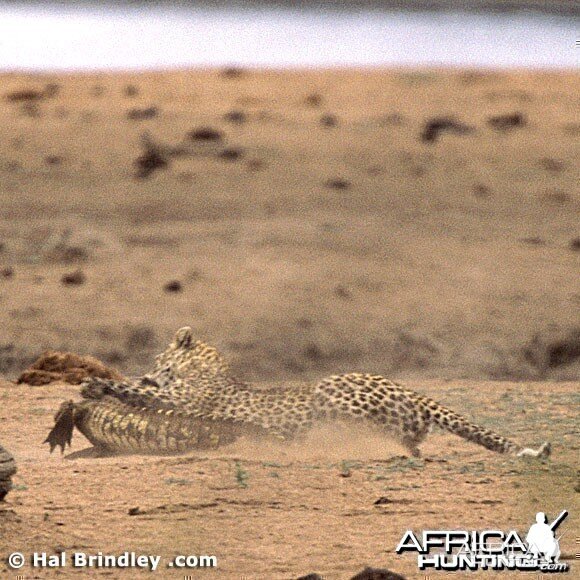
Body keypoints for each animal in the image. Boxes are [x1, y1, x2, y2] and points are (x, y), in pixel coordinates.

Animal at [80, 326, 548, 458]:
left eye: (159, 354)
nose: (151, 368)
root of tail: (411, 391)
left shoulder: (182, 401)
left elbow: (136, 392)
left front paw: (96, 383)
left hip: (330, 390)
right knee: (410, 445)